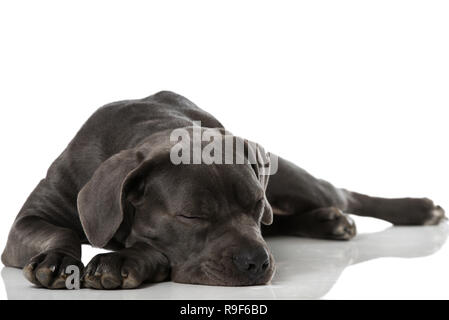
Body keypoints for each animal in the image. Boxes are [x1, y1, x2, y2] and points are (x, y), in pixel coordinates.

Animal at [1, 90, 444, 290]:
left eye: (255, 205)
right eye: (192, 215)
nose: (257, 263)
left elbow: (150, 248)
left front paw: (122, 261)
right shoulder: (28, 220)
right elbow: (58, 231)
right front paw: (58, 261)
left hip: (295, 179)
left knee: (343, 195)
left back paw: (417, 209)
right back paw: (328, 222)